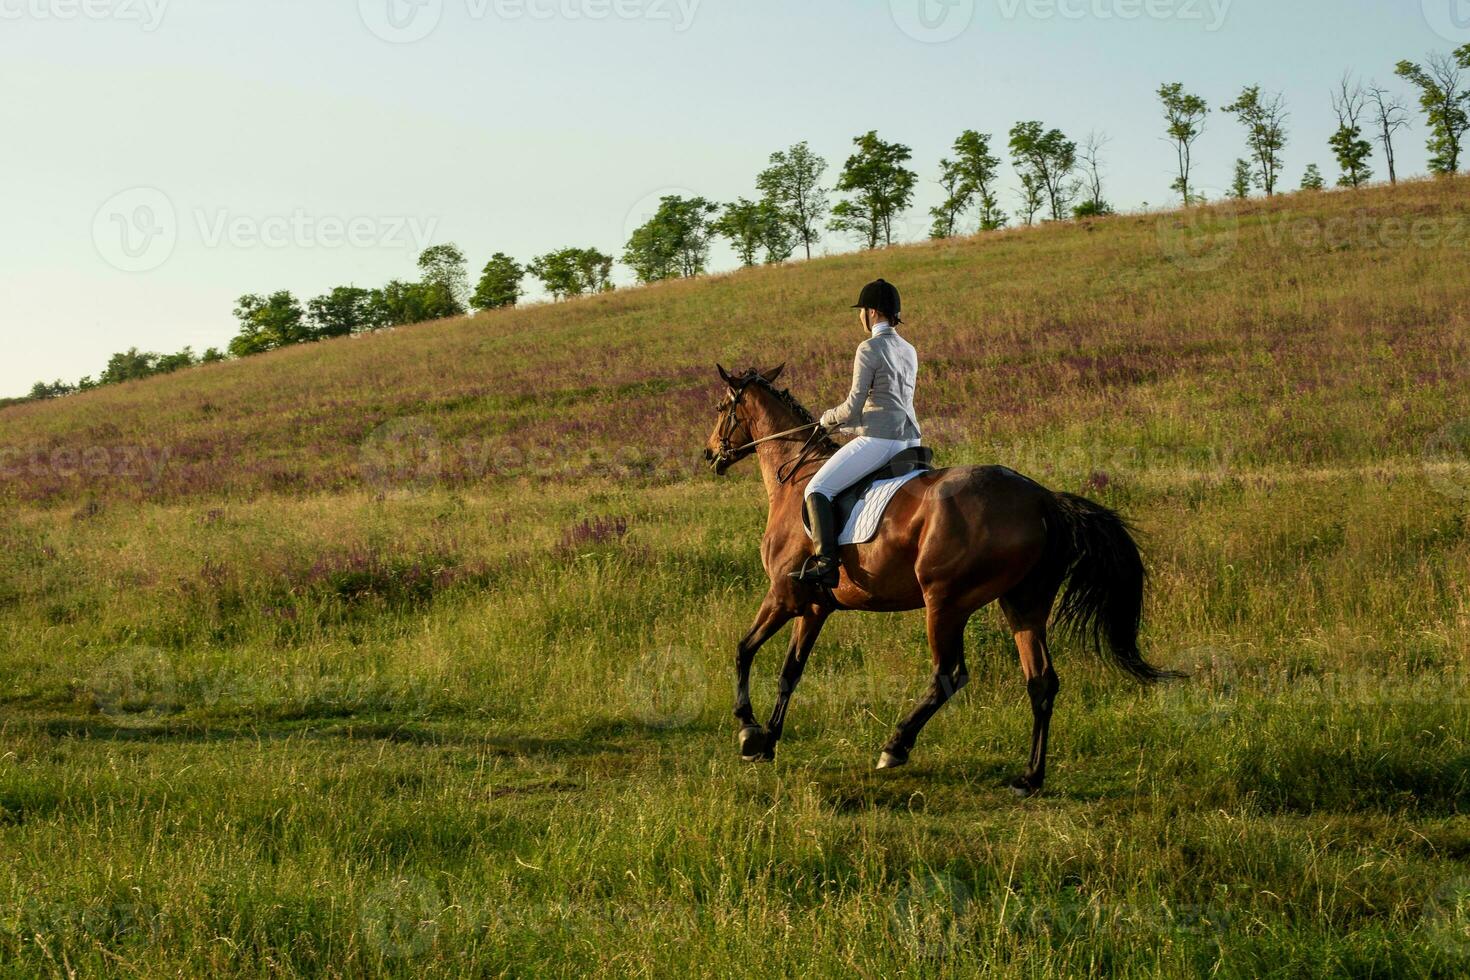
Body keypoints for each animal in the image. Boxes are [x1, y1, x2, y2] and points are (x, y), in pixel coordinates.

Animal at [702, 364, 1181, 793]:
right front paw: (768, 740)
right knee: (1041, 680)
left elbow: (744, 651)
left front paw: (748, 732)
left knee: (949, 673)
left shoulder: (783, 595)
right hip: (1023, 604)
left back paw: (895, 746)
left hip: (945, 603)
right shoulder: (816, 606)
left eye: (723, 407)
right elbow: (790, 671)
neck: (795, 477)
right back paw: (1029, 777)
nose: (710, 455)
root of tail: (1042, 499)